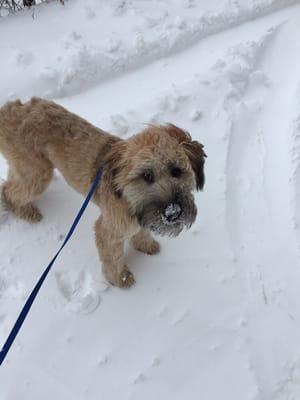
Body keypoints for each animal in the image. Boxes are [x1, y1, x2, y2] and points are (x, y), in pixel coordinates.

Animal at [0, 97, 206, 288]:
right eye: (146, 175)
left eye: (176, 171)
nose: (173, 213)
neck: (127, 195)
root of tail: (12, 107)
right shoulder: (109, 229)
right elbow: (113, 258)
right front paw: (120, 279)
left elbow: (141, 232)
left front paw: (146, 245)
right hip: (36, 172)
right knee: (9, 190)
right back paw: (25, 211)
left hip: (25, 168)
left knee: (9, 183)